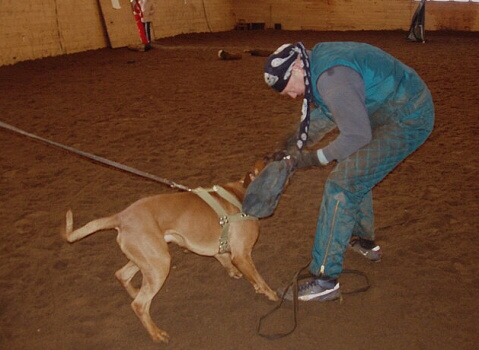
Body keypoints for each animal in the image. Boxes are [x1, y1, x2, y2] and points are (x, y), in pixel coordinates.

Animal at [61, 159, 278, 344]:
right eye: (270, 161)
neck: (243, 194)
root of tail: (121, 217)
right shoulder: (242, 255)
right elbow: (259, 278)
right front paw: (271, 294)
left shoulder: (227, 252)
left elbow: (226, 260)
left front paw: (237, 275)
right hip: (160, 263)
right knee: (139, 304)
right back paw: (156, 334)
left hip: (149, 258)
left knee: (122, 276)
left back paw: (135, 293)